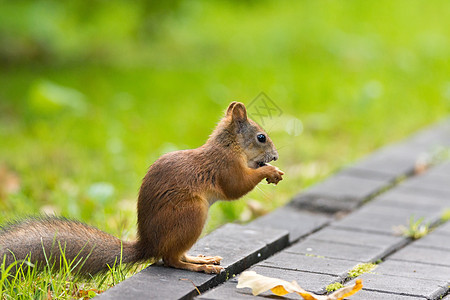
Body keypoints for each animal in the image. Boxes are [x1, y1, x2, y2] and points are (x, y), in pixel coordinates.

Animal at [0, 101, 284, 274]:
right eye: (261, 137)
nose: (276, 156)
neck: (230, 147)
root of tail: (148, 245)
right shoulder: (225, 167)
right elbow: (236, 187)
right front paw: (270, 172)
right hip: (191, 214)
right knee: (169, 259)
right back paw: (199, 267)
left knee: (173, 256)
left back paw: (199, 259)